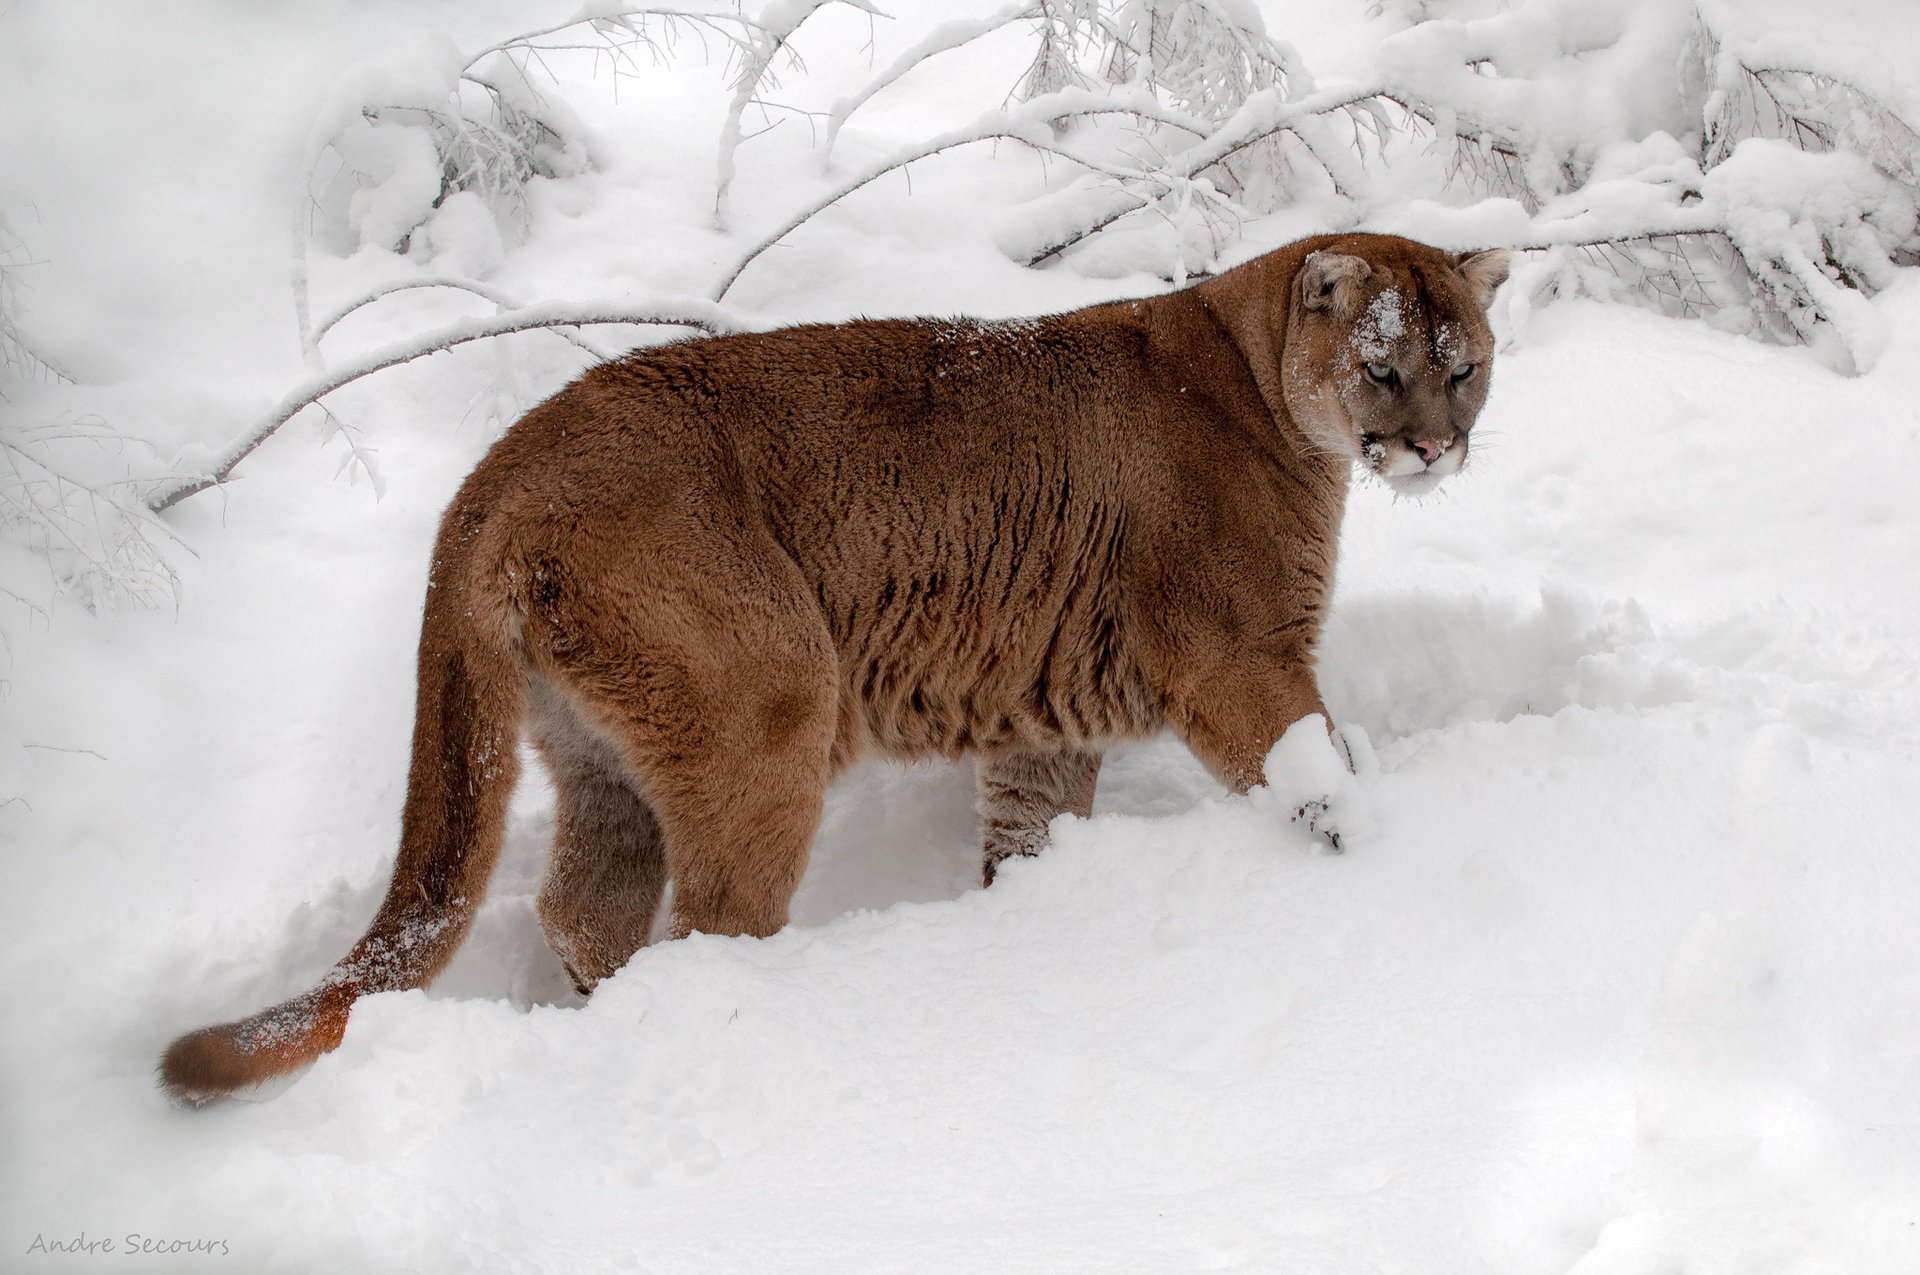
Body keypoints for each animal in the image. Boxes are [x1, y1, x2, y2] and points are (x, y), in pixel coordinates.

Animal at [158, 232, 1509, 1103]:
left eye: (1468, 365)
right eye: (1384, 366)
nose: (1436, 444)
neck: (1260, 375)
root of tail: (502, 465)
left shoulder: (1048, 722)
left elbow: (1028, 833)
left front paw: (1023, 911)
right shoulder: (1238, 657)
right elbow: (1313, 770)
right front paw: (1373, 854)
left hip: (599, 754)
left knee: (584, 904)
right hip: (769, 695)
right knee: (710, 921)